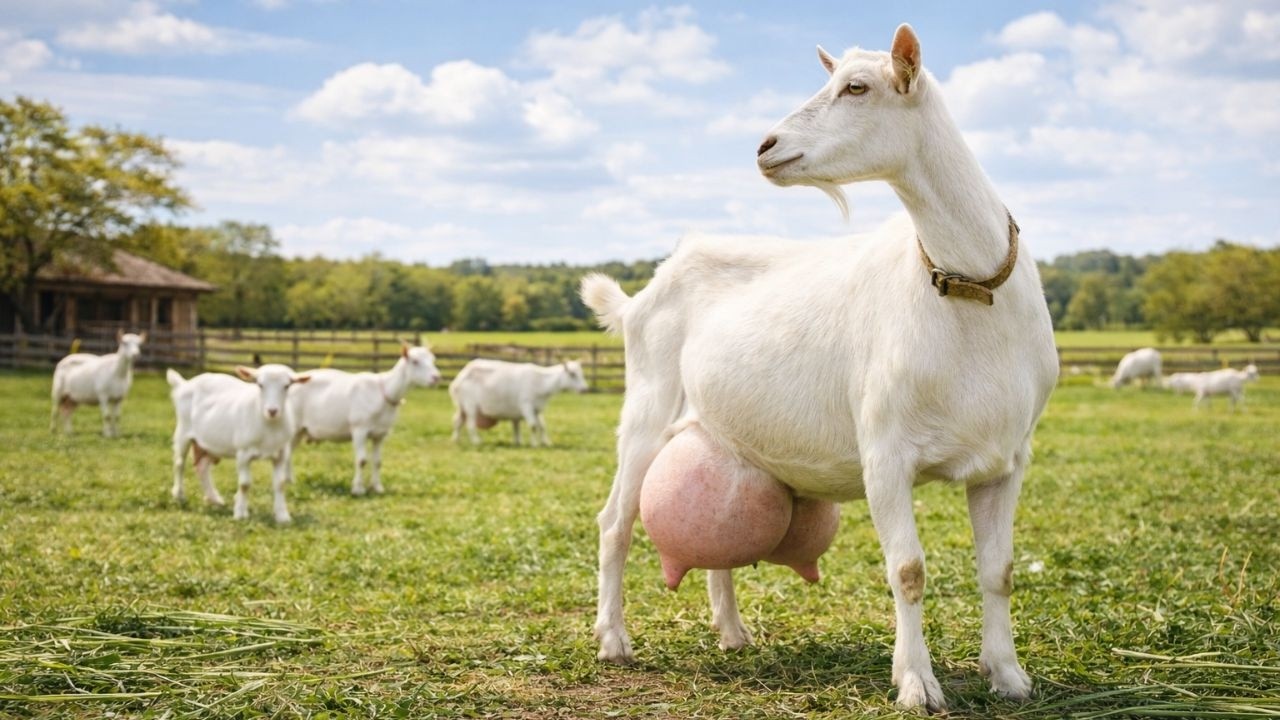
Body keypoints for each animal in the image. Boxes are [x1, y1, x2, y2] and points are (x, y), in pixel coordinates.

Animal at [168, 364, 310, 523]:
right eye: (260, 385)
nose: (272, 410)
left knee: (202, 467)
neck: (268, 426)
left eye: (287, 386)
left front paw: (282, 516)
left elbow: (280, 484)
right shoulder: (243, 453)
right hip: (183, 431)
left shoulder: (281, 453)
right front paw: (240, 513)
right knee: (179, 463)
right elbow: (245, 484)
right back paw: (179, 495)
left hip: (209, 443)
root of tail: (184, 384)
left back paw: (214, 498)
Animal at [287, 342, 441, 495]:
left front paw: (377, 487)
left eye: (433, 360)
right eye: (415, 361)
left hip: (300, 430)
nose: (436, 377)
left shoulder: (381, 434)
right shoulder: (359, 429)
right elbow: (361, 460)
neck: (384, 392)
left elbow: (378, 461)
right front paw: (358, 489)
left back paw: (290, 480)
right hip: (293, 427)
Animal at [449, 359, 589, 446]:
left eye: (581, 373)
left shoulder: (537, 409)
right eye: (572, 374)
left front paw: (546, 442)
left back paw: (456, 440)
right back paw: (476, 441)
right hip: (470, 406)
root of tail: (459, 378)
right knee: (470, 425)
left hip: (461, 407)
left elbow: (542, 426)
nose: (585, 389)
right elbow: (533, 425)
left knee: (458, 422)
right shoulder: (526, 405)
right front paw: (534, 444)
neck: (541, 381)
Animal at [580, 24, 1057, 712]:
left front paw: (1010, 676)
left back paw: (732, 633)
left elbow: (1000, 571)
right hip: (646, 406)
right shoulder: (884, 451)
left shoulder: (1007, 457)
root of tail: (650, 286)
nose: (765, 147)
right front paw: (916, 683)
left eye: (856, 87)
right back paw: (613, 640)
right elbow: (908, 570)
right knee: (615, 523)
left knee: (719, 539)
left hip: (725, 435)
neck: (969, 293)